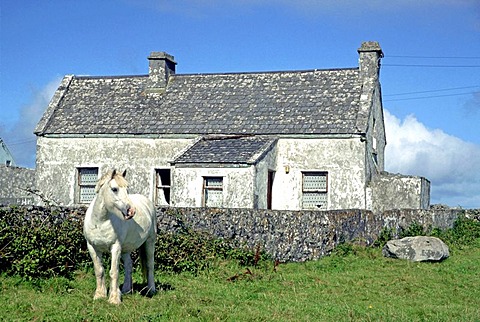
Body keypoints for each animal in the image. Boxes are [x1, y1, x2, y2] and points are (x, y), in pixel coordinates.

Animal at [83, 169, 157, 304]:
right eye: (114, 189)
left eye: (127, 189)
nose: (131, 211)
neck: (100, 222)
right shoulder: (92, 247)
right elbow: (99, 270)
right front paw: (100, 295)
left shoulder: (115, 247)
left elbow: (114, 272)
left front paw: (114, 299)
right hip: (125, 249)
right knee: (129, 265)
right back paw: (126, 290)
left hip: (149, 242)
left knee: (150, 265)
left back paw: (151, 290)